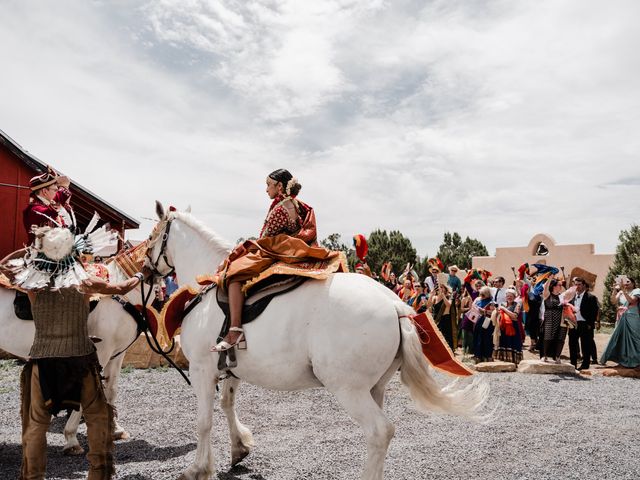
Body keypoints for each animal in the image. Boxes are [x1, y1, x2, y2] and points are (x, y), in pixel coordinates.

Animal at [148, 204, 488, 480]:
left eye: (151, 237)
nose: (145, 269)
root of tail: (395, 304)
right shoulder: (230, 369)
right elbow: (227, 404)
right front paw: (239, 448)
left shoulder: (201, 368)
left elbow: (204, 421)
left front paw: (197, 468)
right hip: (373, 387)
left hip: (348, 389)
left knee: (380, 431)